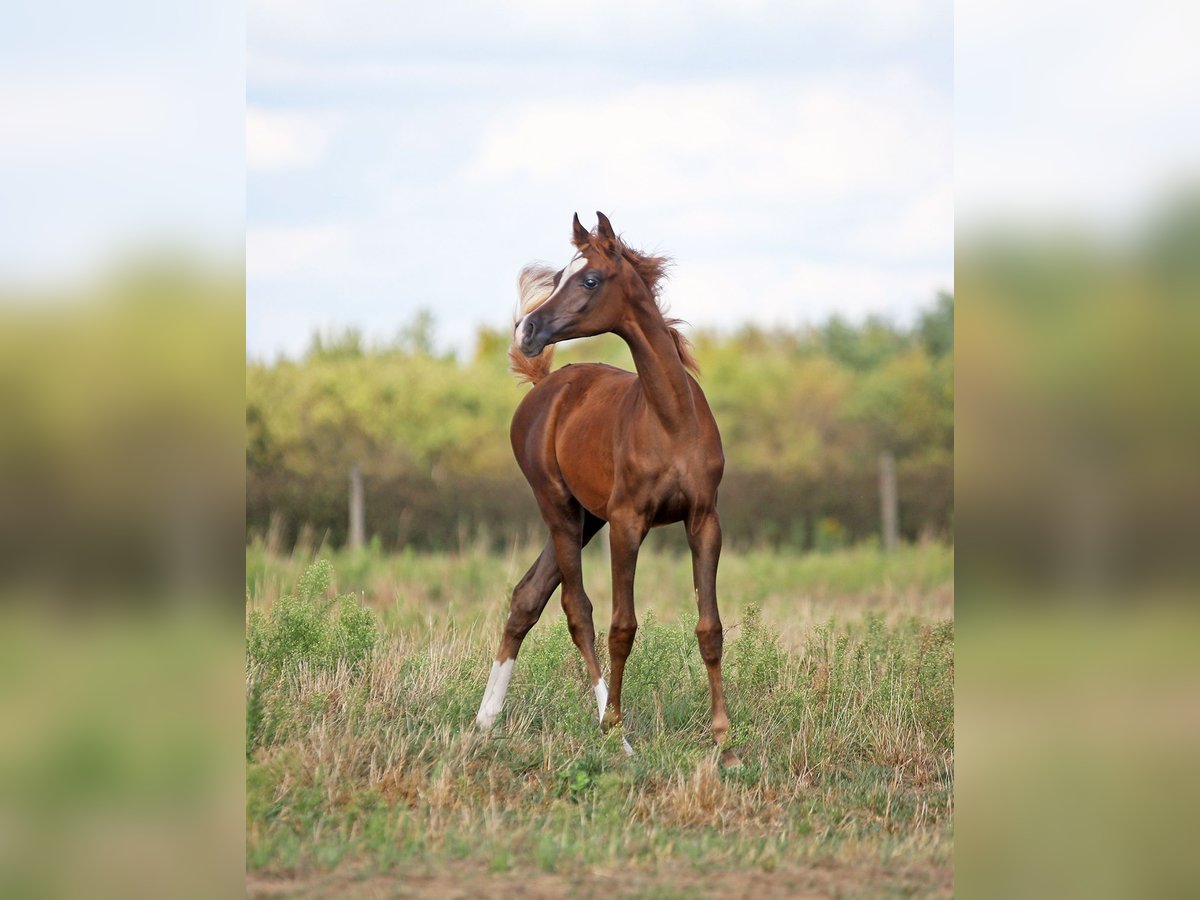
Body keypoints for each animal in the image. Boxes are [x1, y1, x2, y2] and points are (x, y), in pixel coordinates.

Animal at [475, 211, 733, 761]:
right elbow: (621, 626)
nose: (528, 330)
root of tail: (544, 386)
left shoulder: (704, 520)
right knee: (576, 609)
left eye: (589, 279)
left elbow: (710, 627)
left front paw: (724, 738)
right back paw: (612, 729)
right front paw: (615, 725)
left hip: (584, 516)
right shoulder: (627, 522)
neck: (671, 421)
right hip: (557, 505)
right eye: (557, 277)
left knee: (527, 596)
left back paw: (485, 719)